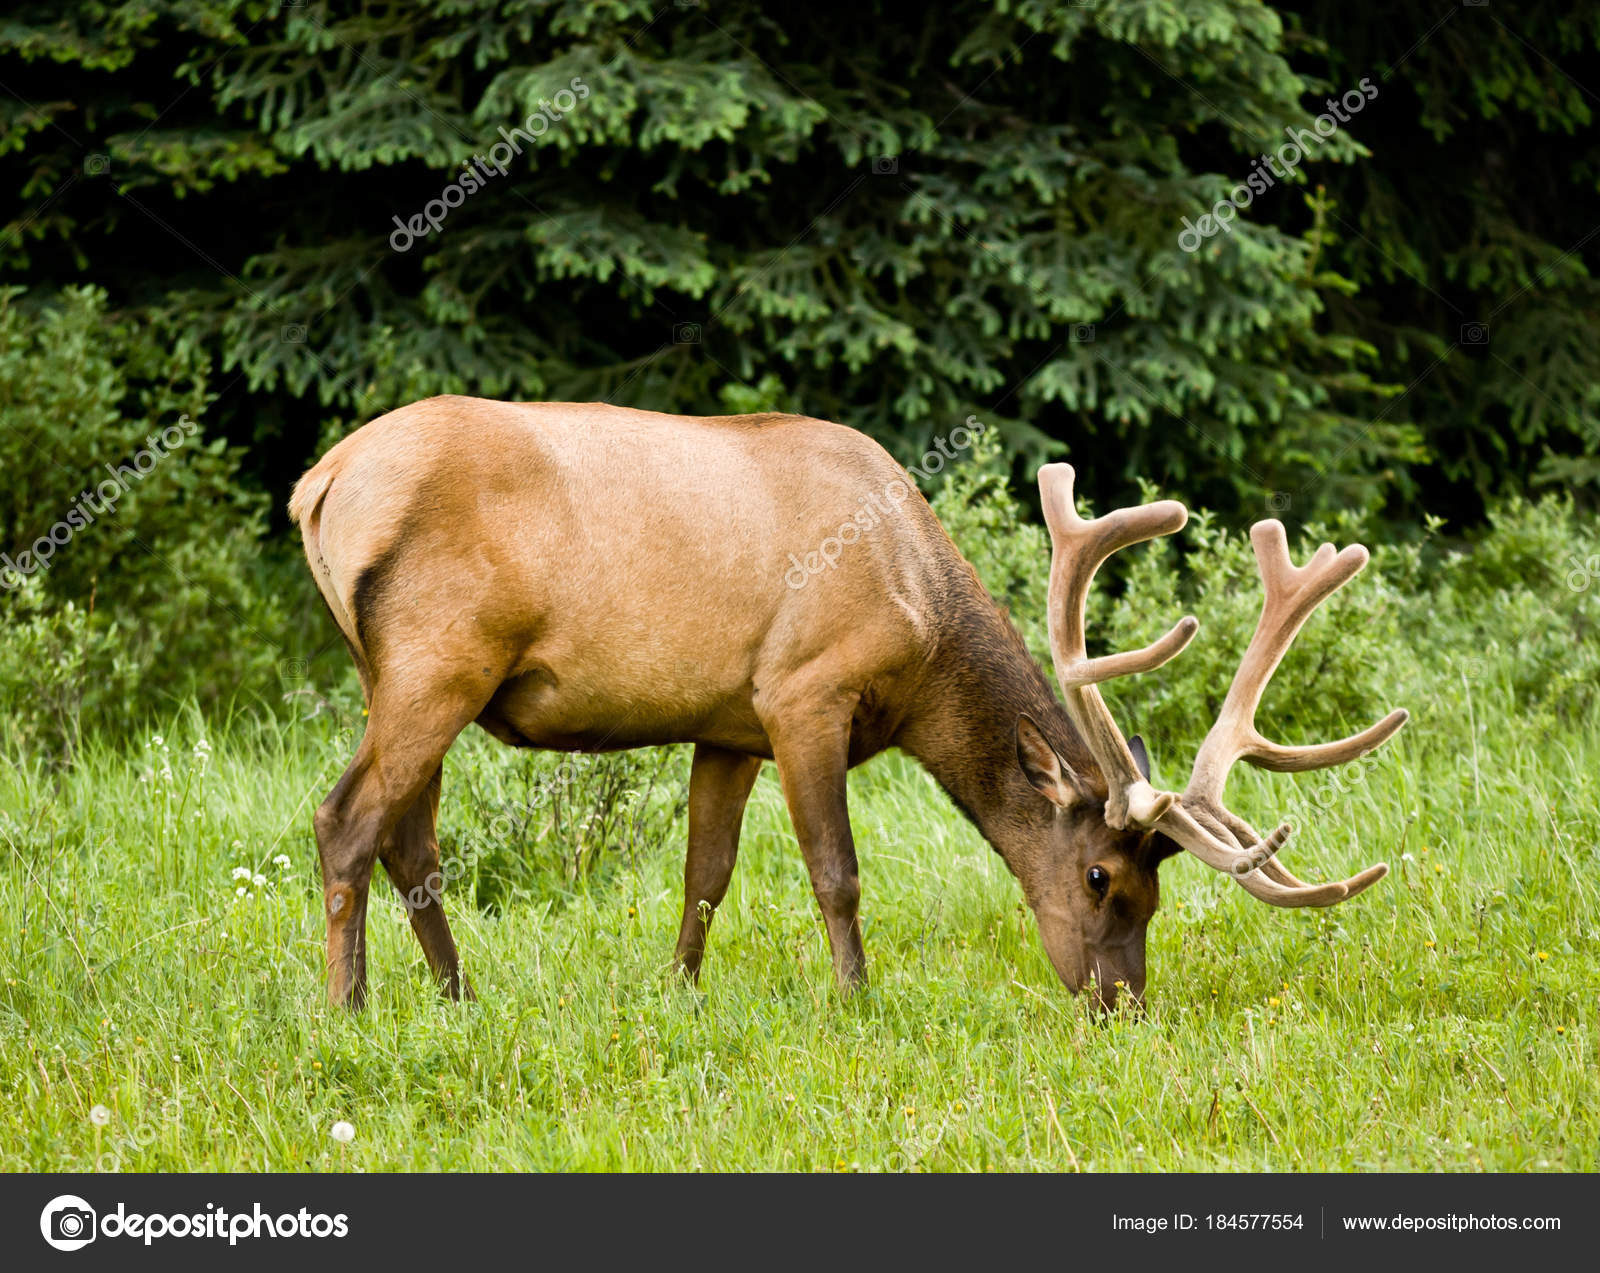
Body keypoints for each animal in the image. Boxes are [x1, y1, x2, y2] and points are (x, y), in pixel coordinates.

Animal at [289, 397, 1408, 1011]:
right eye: (1101, 877)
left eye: (1158, 895)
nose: (1119, 1002)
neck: (920, 624)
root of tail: (321, 482)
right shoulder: (802, 690)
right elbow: (836, 872)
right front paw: (856, 998)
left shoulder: (726, 723)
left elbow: (705, 875)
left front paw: (680, 991)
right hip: (439, 653)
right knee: (347, 818)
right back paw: (348, 1009)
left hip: (405, 668)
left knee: (411, 839)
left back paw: (455, 994)